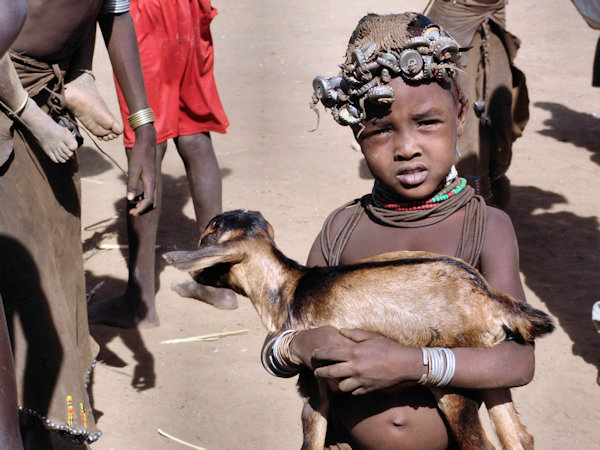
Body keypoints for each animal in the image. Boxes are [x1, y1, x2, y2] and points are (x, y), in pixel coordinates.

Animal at [163, 209, 552, 448]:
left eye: (207, 235)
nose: (197, 277)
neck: (292, 285)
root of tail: (491, 299)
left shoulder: (313, 382)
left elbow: (312, 435)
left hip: (455, 385)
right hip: (491, 370)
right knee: (518, 438)